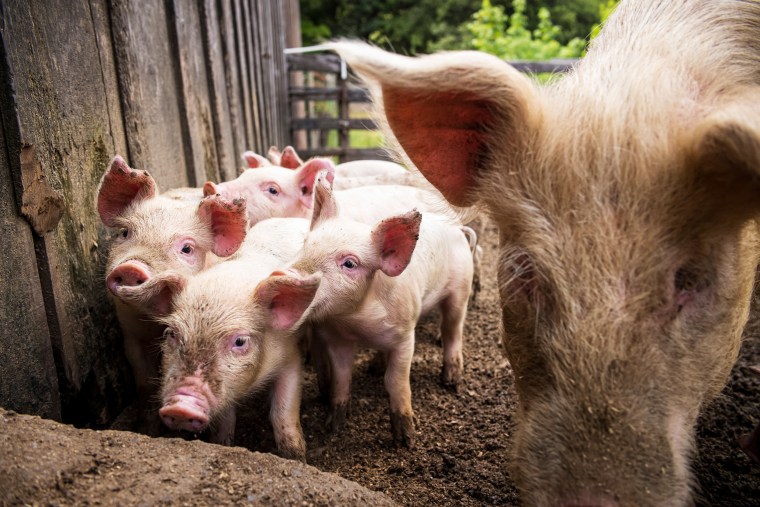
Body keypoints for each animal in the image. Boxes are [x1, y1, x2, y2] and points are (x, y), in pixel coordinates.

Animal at [96, 157, 246, 434]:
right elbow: (145, 383)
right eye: (124, 233)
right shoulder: (131, 335)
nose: (132, 267)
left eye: (186, 248)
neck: (155, 320)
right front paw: (147, 430)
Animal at [157, 218, 318, 460]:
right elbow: (225, 419)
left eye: (240, 341)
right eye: (171, 333)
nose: (181, 407)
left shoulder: (290, 355)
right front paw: (222, 444)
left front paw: (295, 457)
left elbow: (283, 412)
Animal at [286, 179, 476, 448]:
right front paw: (332, 427)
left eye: (350, 264)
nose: (289, 276)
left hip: (461, 287)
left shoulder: (405, 335)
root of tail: (458, 229)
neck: (355, 322)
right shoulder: (336, 339)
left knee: (452, 330)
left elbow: (395, 381)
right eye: (305, 243)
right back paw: (374, 367)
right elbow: (341, 378)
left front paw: (406, 441)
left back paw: (451, 381)